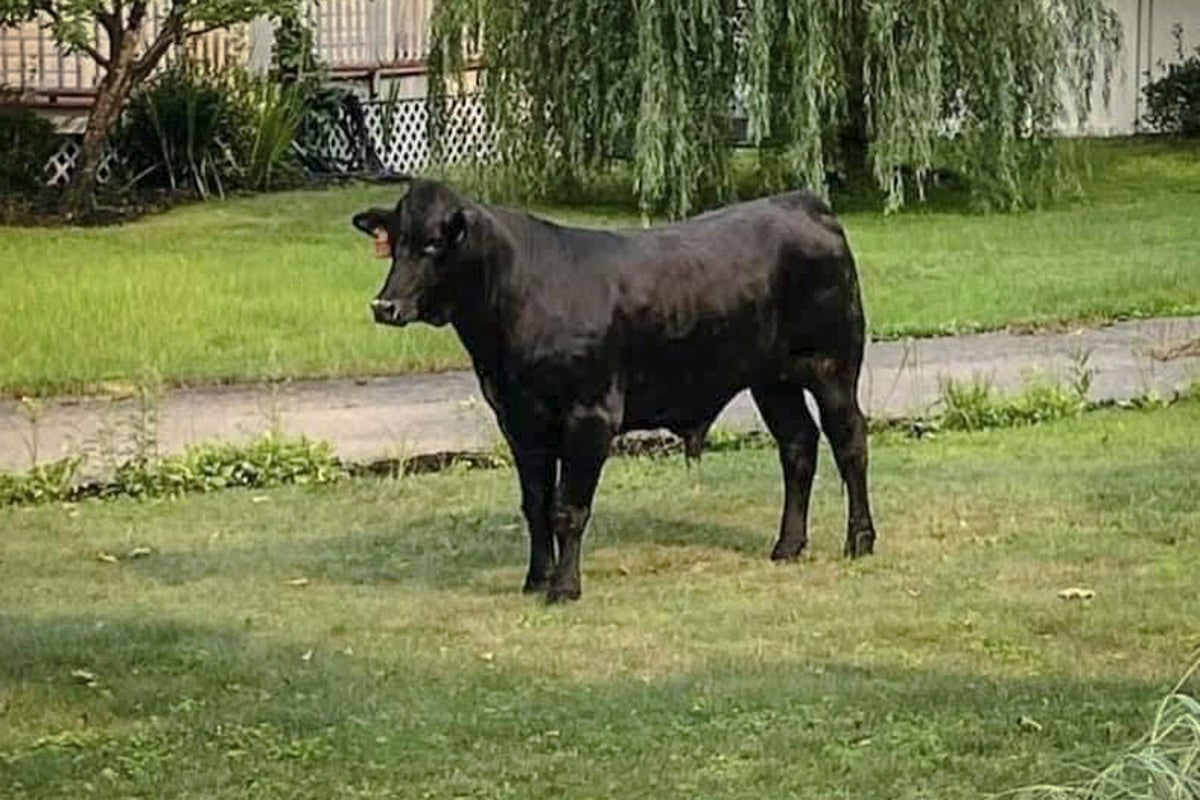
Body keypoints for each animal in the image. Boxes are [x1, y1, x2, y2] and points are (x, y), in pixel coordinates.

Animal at [352, 179, 877, 602]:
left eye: (433, 245)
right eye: (395, 243)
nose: (384, 305)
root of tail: (801, 202)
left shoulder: (590, 415)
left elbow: (568, 507)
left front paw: (564, 588)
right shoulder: (518, 418)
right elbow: (535, 504)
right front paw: (535, 580)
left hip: (832, 364)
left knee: (848, 441)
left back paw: (859, 540)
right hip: (771, 380)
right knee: (798, 446)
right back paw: (787, 546)